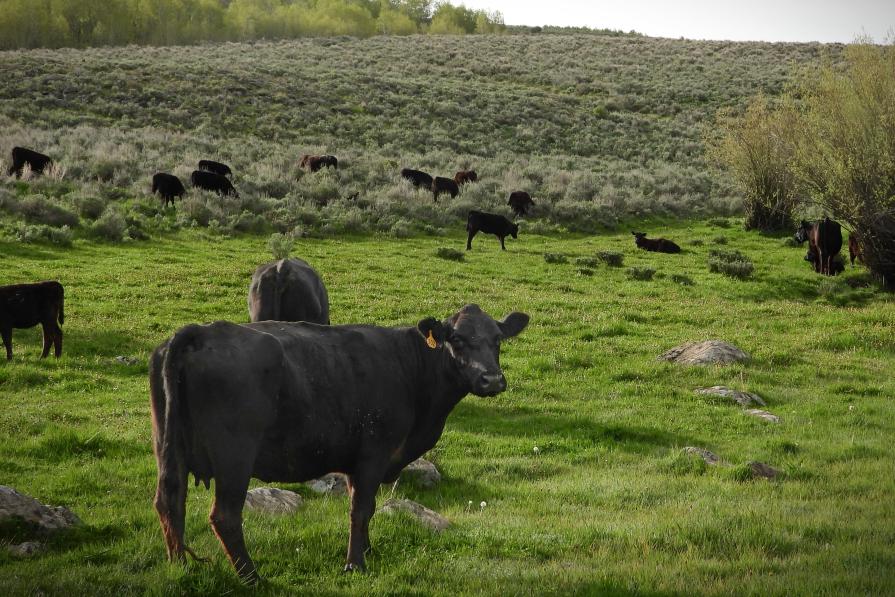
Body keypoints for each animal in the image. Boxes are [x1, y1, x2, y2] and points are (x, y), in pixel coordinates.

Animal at [152, 304, 532, 580]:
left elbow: (366, 508)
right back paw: (252, 577)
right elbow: (360, 508)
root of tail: (200, 331)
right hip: (235, 457)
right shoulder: (374, 453)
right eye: (457, 339)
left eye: (498, 340)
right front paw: (355, 564)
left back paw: (178, 567)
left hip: (169, 449)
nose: (491, 379)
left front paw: (367, 551)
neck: (411, 369)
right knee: (225, 516)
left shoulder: (357, 460)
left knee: (170, 501)